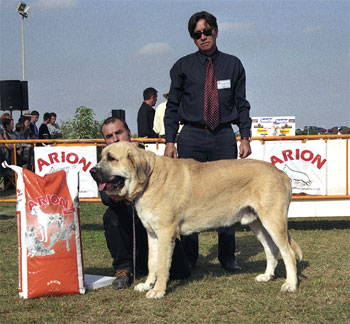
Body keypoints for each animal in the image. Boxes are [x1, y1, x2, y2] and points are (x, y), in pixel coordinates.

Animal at [90, 142, 300, 298]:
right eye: (102, 157)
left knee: (287, 252)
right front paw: (148, 285)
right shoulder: (152, 234)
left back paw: (290, 284)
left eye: (111, 158)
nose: (92, 171)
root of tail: (281, 173)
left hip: (273, 222)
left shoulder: (166, 233)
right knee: (271, 250)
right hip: (257, 224)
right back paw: (267, 276)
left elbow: (162, 265)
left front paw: (158, 290)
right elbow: (152, 263)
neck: (149, 178)